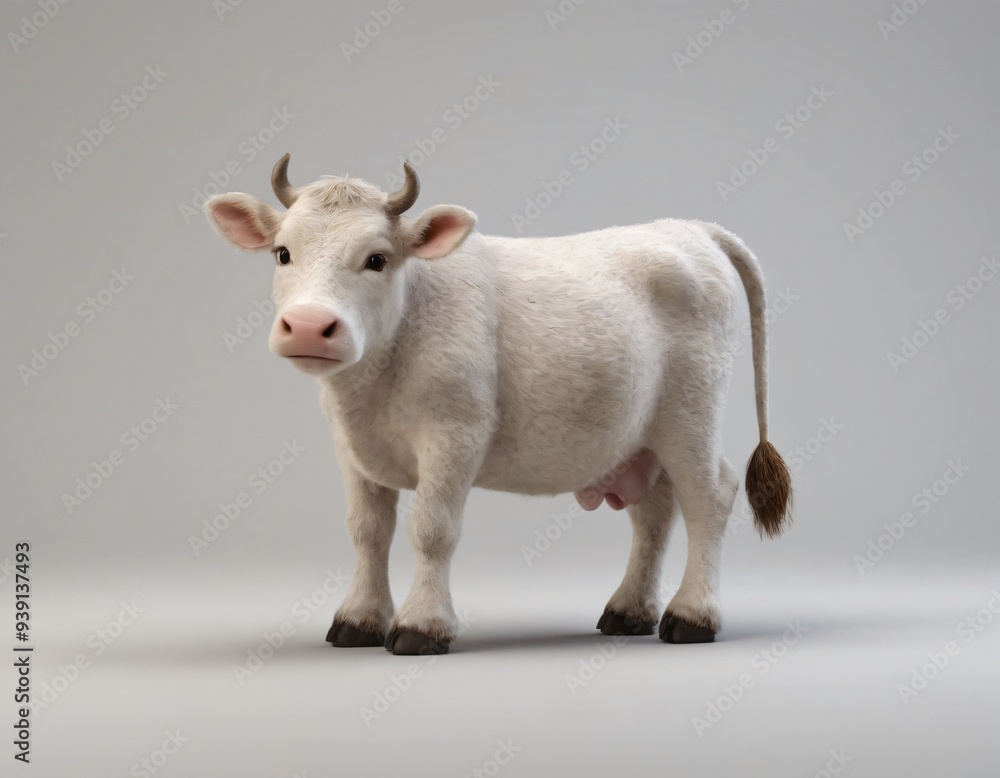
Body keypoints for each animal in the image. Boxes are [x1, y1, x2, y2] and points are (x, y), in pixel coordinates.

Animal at [204, 153, 791, 655]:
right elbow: (366, 531)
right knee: (655, 511)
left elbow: (432, 529)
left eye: (376, 259)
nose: (308, 325)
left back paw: (693, 615)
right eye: (283, 253)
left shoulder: (456, 431)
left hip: (691, 413)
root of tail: (690, 228)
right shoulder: (350, 446)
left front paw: (422, 626)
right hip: (640, 436)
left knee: (709, 495)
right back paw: (629, 610)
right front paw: (359, 619)